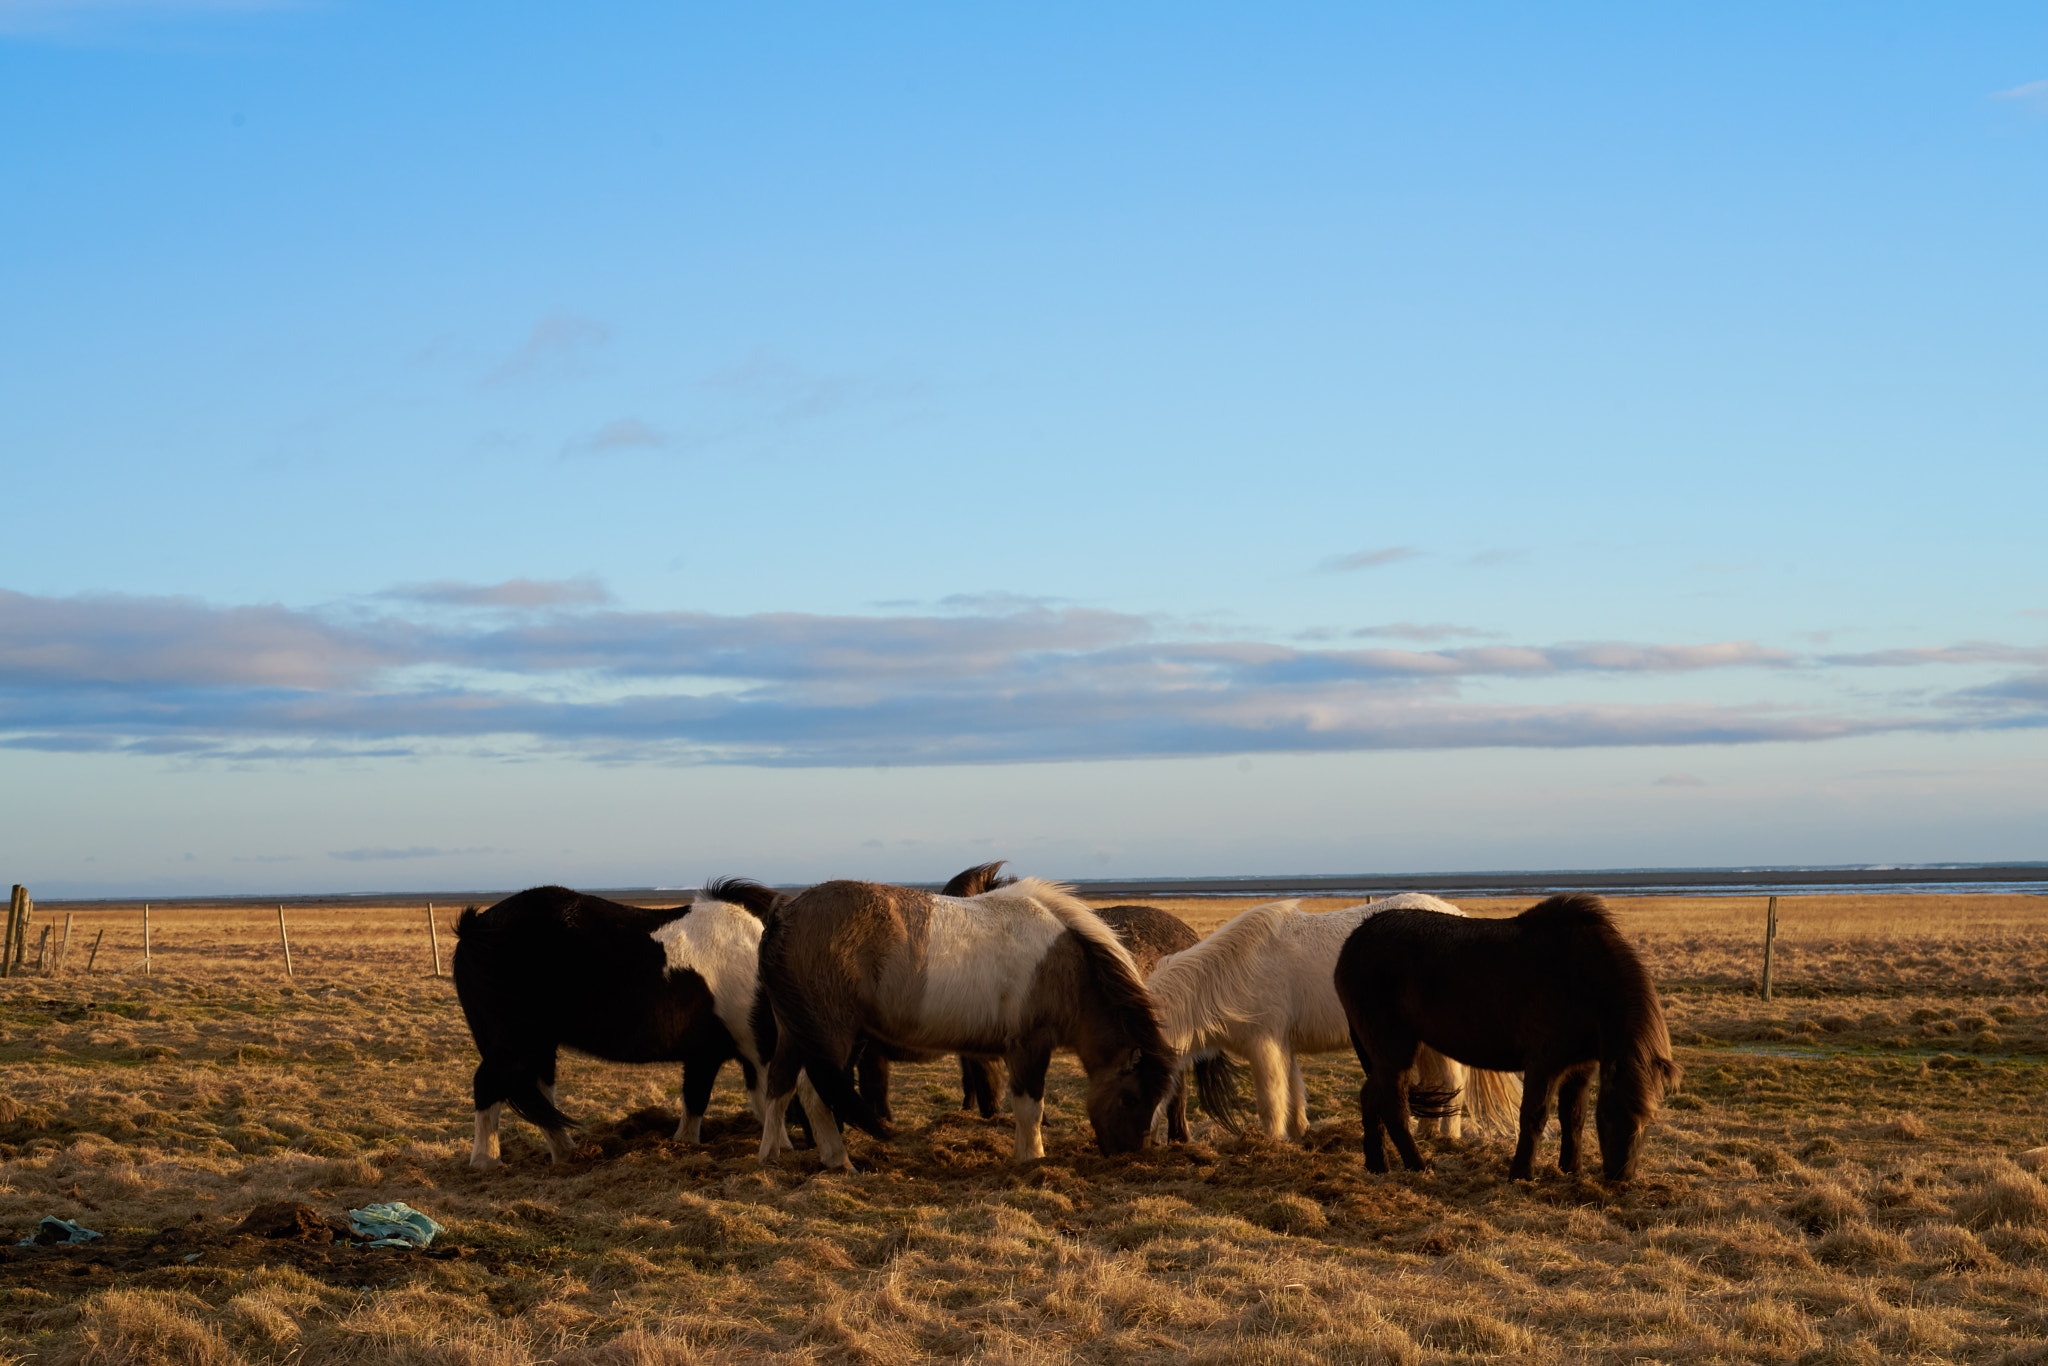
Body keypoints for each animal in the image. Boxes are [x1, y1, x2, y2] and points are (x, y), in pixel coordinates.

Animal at [452, 880, 827, 1171]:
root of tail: (476, 928)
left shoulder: (708, 1053)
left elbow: (697, 1099)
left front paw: (685, 1144)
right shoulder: (757, 1046)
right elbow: (772, 1096)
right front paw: (780, 1148)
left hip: (540, 1047)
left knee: (541, 1098)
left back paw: (567, 1154)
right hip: (514, 1047)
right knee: (488, 1087)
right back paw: (486, 1161)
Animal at [757, 880, 1179, 1171]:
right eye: (1130, 1098)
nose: (1128, 1154)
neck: (1068, 964)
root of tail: (784, 914)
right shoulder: (1030, 1047)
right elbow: (1030, 1107)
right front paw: (1032, 1158)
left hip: (795, 1034)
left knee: (779, 1086)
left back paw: (771, 1153)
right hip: (831, 1037)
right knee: (813, 1094)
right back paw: (839, 1160)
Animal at [1146, 897, 1531, 1146]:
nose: (1141, 1141)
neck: (1233, 969)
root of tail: (1457, 914)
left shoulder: (1264, 1044)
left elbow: (1270, 1096)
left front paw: (1270, 1141)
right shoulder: (1283, 1044)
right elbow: (1293, 1089)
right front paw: (1300, 1133)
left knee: (1453, 1080)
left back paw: (1447, 1138)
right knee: (1438, 1082)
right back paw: (1425, 1132)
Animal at [1343, 892, 1679, 1179]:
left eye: (1647, 1121)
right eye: (1609, 1114)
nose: (1620, 1177)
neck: (1580, 976)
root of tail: (1353, 944)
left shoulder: (1580, 1068)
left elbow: (1574, 1117)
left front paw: (1571, 1169)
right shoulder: (1544, 1064)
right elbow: (1534, 1116)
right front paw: (1521, 1174)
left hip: (1385, 1055)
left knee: (1370, 1097)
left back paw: (1377, 1166)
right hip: (1394, 1049)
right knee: (1394, 1105)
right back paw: (1417, 1165)